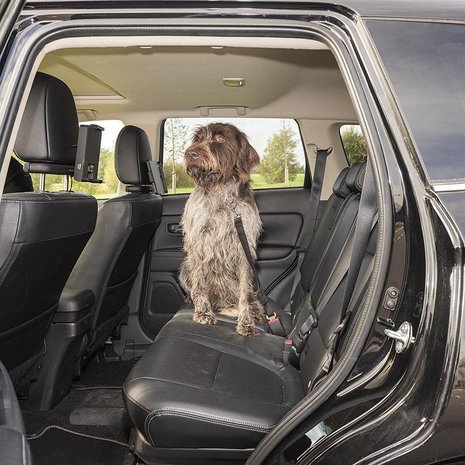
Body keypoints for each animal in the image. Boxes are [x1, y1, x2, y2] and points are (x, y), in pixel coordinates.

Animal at [179, 121, 264, 336]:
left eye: (219, 138)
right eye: (198, 139)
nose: (190, 153)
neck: (222, 190)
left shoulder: (244, 247)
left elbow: (245, 292)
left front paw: (246, 321)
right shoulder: (197, 240)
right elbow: (199, 283)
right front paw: (202, 312)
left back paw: (256, 310)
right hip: (185, 269)